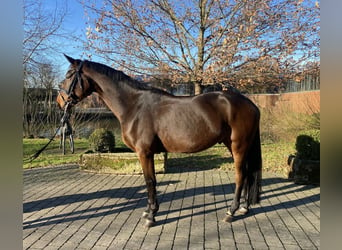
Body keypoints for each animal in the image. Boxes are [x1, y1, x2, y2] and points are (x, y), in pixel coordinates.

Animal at [56, 54, 262, 227]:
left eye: (69, 75)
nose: (59, 100)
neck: (134, 106)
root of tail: (251, 104)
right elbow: (151, 181)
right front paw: (148, 212)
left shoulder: (144, 153)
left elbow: (150, 181)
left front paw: (151, 216)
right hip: (233, 145)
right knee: (246, 174)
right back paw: (244, 208)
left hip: (238, 146)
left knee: (240, 175)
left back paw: (231, 211)